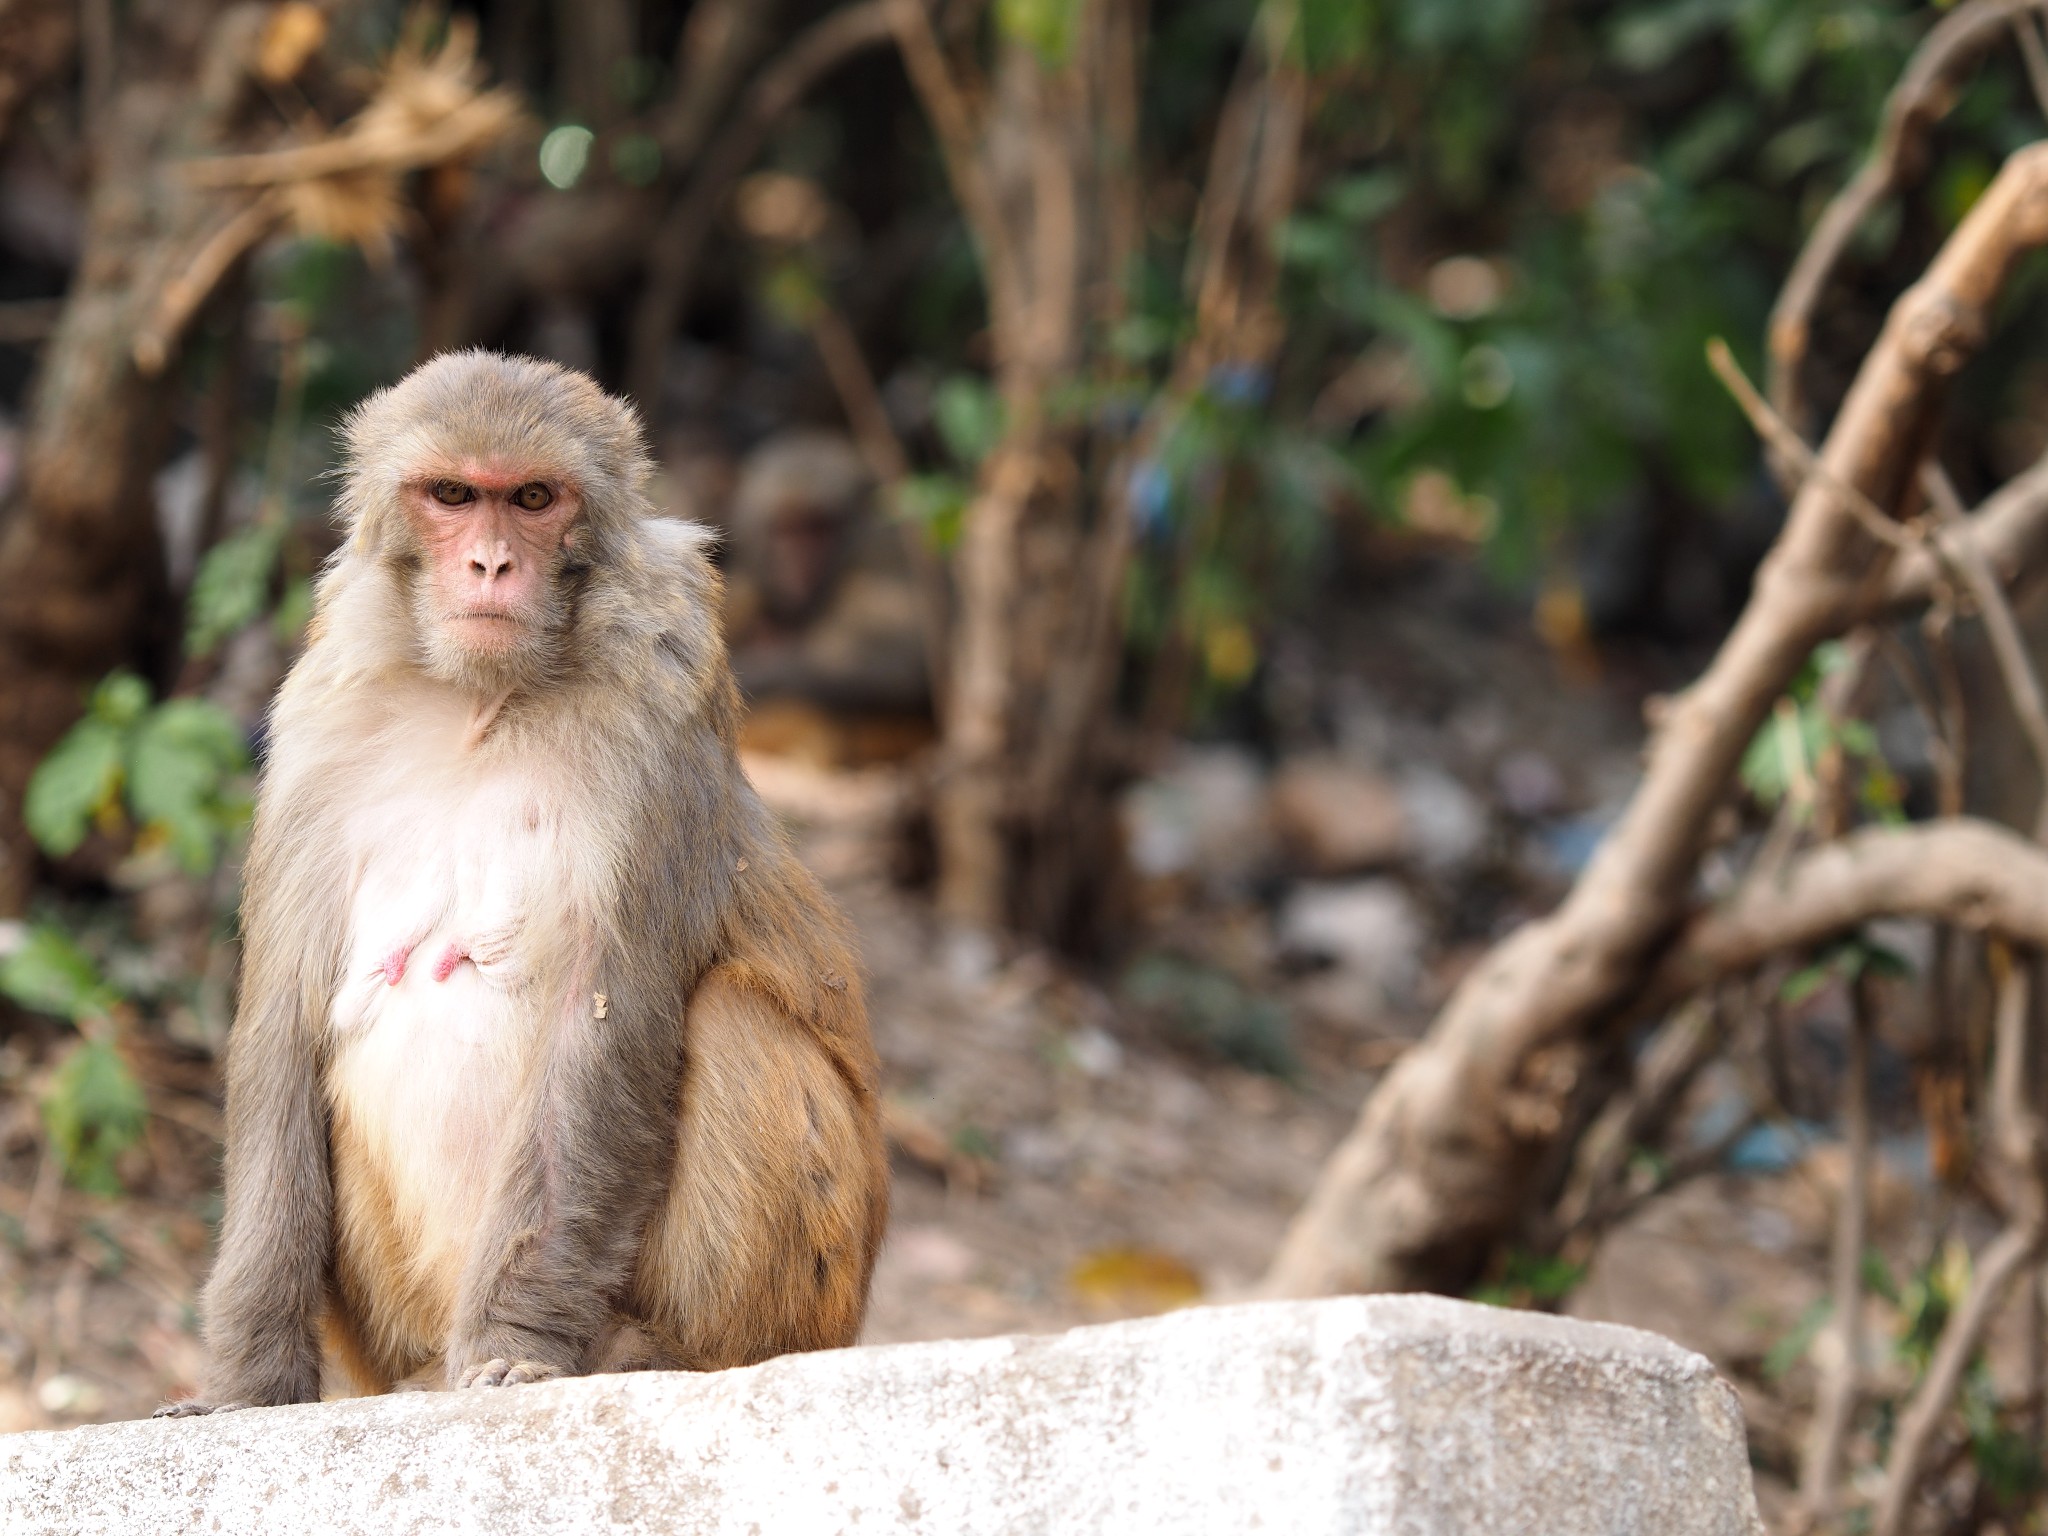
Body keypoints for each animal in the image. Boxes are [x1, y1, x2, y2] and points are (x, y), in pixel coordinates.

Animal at [163, 354, 884, 1417]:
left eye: (535, 499)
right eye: (455, 496)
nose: (492, 566)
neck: (479, 704)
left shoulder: (654, 736)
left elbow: (603, 1025)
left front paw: (516, 1346)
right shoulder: (312, 743)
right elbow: (283, 1029)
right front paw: (247, 1389)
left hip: (819, 1306)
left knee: (730, 1021)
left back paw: (667, 1351)